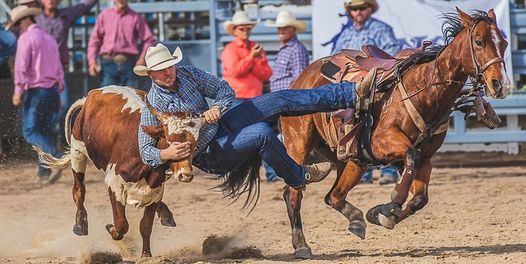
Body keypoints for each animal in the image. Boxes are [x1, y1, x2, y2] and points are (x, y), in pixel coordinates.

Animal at [282, 8, 512, 258]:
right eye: (479, 41)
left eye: (504, 43)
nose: (501, 84)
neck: (425, 90)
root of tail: (300, 78)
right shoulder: (382, 143)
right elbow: (411, 157)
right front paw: (390, 205)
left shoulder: (426, 158)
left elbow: (420, 198)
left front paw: (380, 214)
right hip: (298, 145)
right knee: (293, 192)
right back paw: (301, 245)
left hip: (351, 159)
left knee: (333, 195)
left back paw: (356, 219)